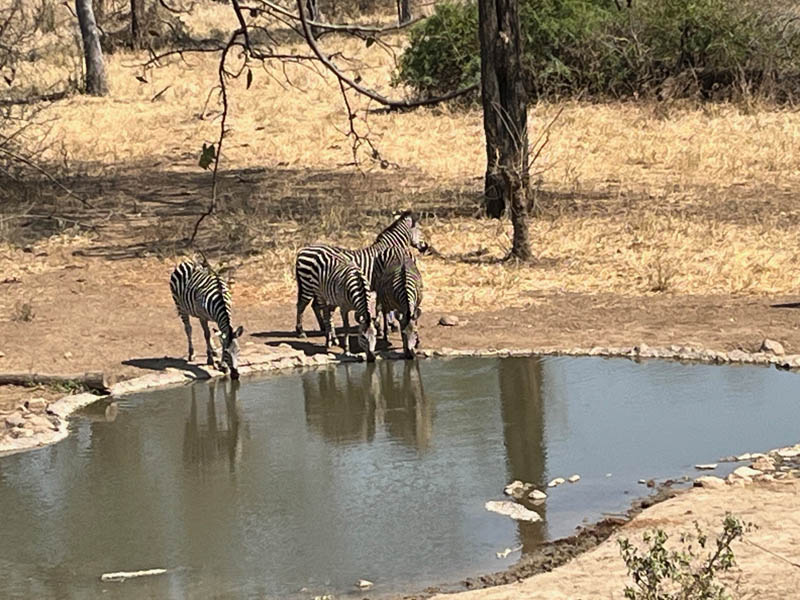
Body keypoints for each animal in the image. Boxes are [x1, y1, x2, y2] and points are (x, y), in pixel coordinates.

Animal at [294, 210, 428, 339]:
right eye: (420, 230)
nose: (425, 247)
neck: (390, 250)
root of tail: (302, 251)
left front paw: (387, 325)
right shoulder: (382, 284)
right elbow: (381, 307)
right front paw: (384, 327)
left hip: (319, 288)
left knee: (315, 305)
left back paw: (322, 327)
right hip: (307, 285)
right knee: (301, 305)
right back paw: (301, 332)